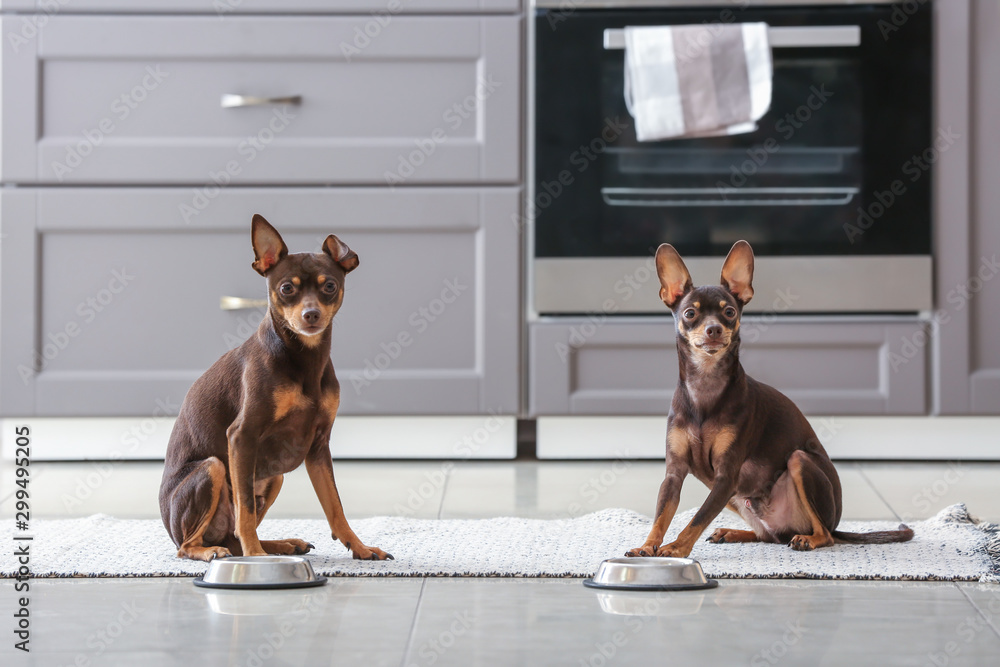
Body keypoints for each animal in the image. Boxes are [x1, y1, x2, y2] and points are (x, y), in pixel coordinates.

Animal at [159, 217, 390, 560]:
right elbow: (245, 511)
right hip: (213, 468)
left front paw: (360, 547)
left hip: (275, 477)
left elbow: (335, 507)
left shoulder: (318, 445)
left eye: (330, 286)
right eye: (286, 288)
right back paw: (218, 551)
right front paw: (256, 559)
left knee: (233, 536)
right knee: (193, 545)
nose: (311, 314)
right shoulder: (241, 436)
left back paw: (283, 545)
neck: (305, 359)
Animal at [624, 240, 916, 560]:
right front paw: (647, 546)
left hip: (798, 463)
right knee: (768, 536)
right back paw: (732, 532)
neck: (705, 383)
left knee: (823, 535)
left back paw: (807, 539)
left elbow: (697, 517)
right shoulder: (675, 475)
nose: (714, 329)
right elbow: (661, 515)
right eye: (689, 313)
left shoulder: (726, 477)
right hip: (739, 499)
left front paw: (675, 548)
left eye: (729, 312)